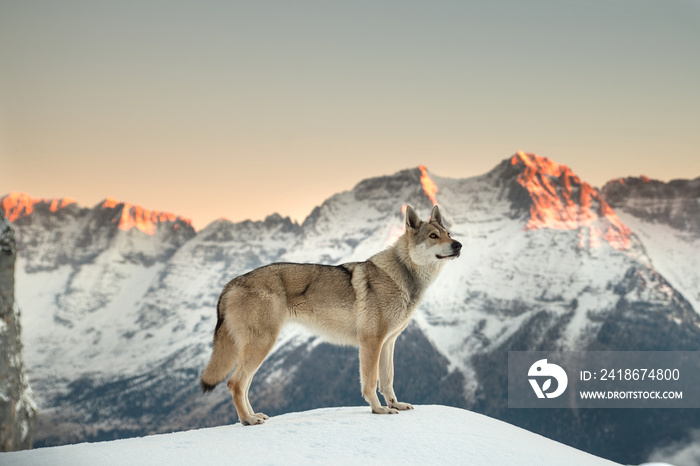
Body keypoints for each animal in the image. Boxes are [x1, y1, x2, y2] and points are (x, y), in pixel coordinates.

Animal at [198, 206, 460, 424]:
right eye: (433, 236)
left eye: (447, 233)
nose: (458, 245)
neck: (403, 278)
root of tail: (231, 283)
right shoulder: (371, 342)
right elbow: (370, 382)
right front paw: (379, 410)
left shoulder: (388, 343)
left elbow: (388, 381)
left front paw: (395, 405)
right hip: (262, 345)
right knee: (234, 383)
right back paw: (248, 420)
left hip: (258, 349)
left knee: (244, 385)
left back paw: (254, 416)